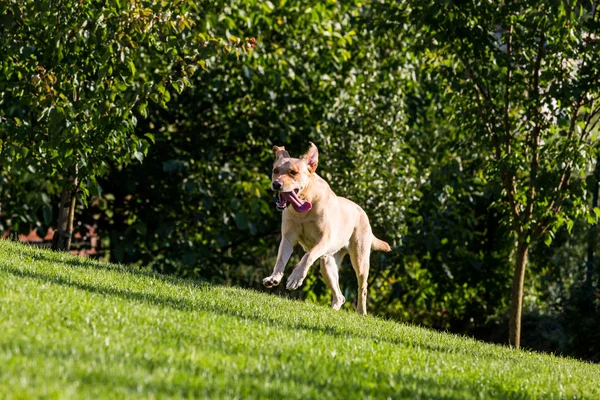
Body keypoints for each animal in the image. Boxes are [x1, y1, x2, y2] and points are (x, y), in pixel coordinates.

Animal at [264, 142, 392, 314]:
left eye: (293, 172)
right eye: (275, 170)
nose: (276, 184)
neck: (304, 204)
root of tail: (362, 212)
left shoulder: (325, 239)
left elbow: (308, 256)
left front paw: (295, 277)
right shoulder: (287, 238)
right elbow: (280, 260)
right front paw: (274, 278)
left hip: (360, 260)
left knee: (362, 287)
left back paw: (361, 312)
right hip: (327, 264)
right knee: (340, 296)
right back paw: (333, 310)